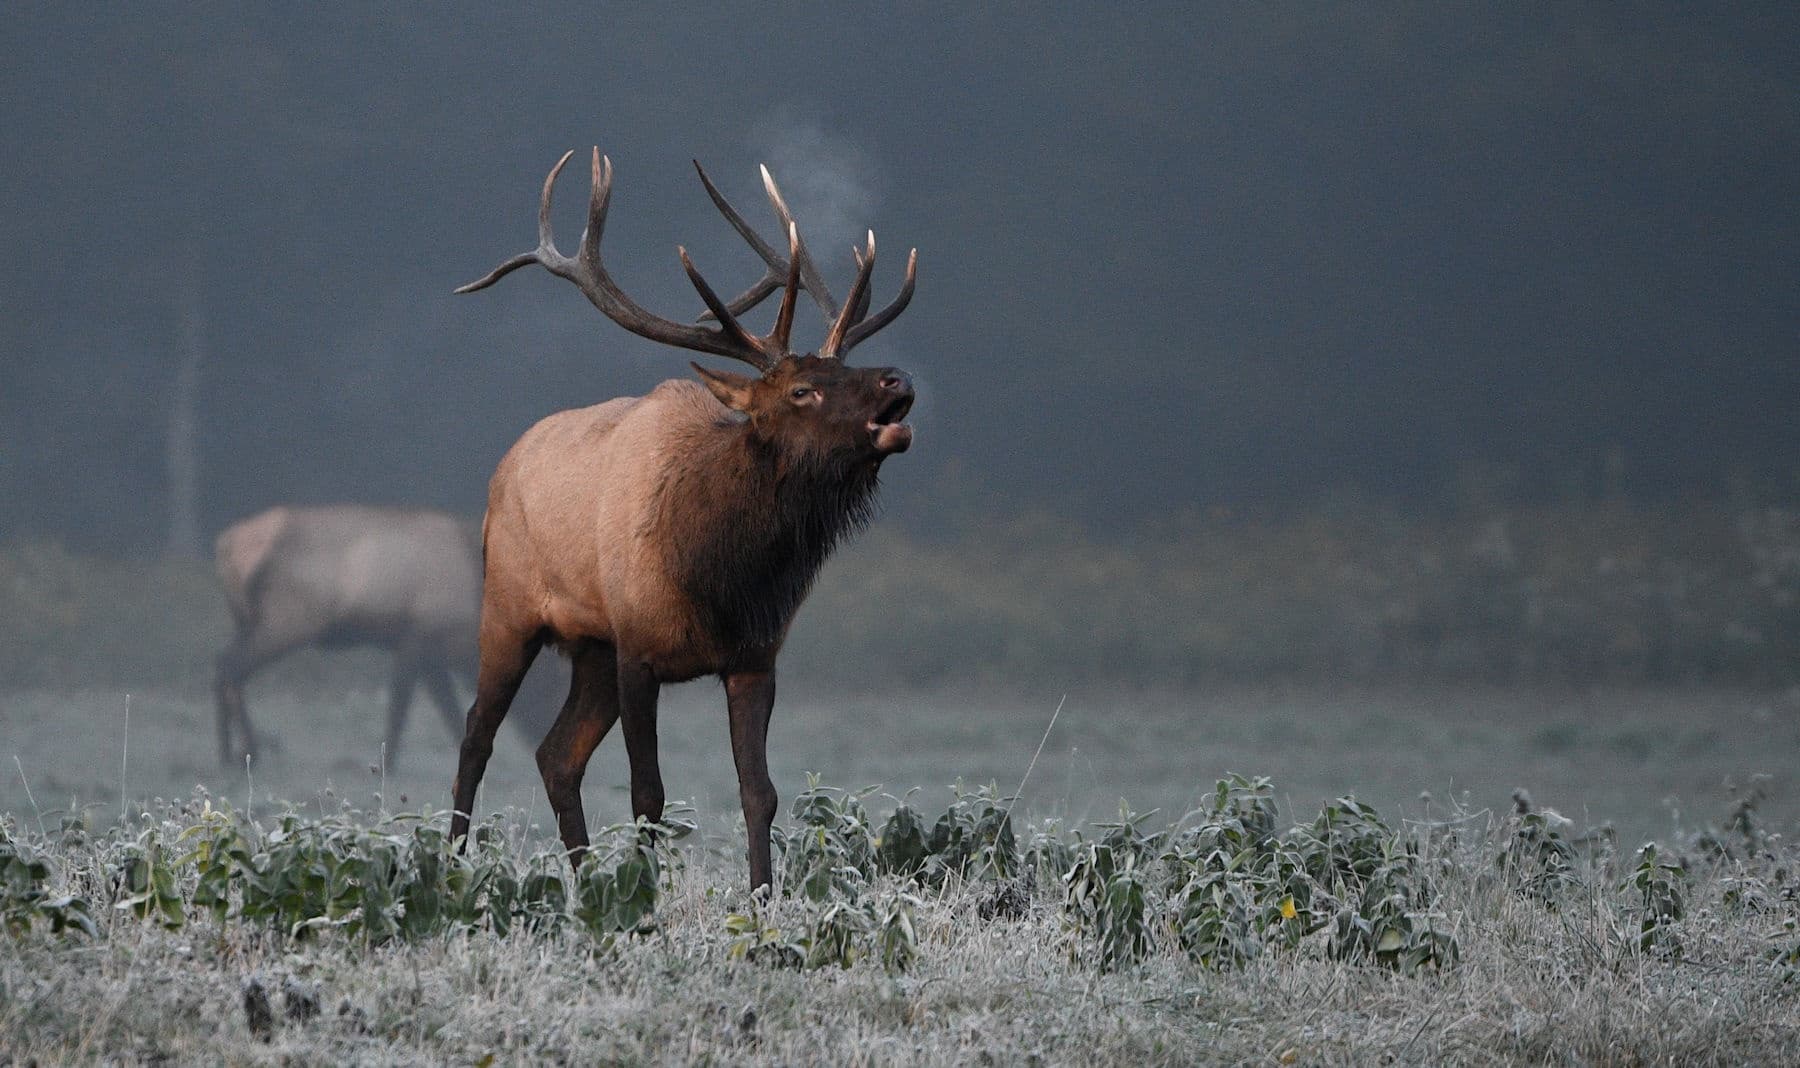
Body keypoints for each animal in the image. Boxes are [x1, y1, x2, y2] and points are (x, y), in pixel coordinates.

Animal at [213, 504, 556, 769]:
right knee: (233, 666)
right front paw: (388, 761)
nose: (541, 733)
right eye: (544, 685)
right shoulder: (416, 639)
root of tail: (227, 546)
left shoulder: (429, 654)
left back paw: (227, 752)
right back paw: (250, 749)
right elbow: (401, 705)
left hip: (249, 620)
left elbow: (444, 708)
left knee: (223, 662)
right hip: (288, 619)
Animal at [449, 148, 917, 889]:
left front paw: (761, 900)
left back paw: (582, 878)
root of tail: (504, 466)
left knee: (556, 756)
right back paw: (450, 863)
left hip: (592, 648)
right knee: (477, 734)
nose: (897, 380)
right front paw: (644, 895)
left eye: (845, 367)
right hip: (509, 610)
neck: (719, 577)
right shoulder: (639, 652)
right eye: (801, 390)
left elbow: (760, 793)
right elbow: (648, 794)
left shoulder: (754, 658)